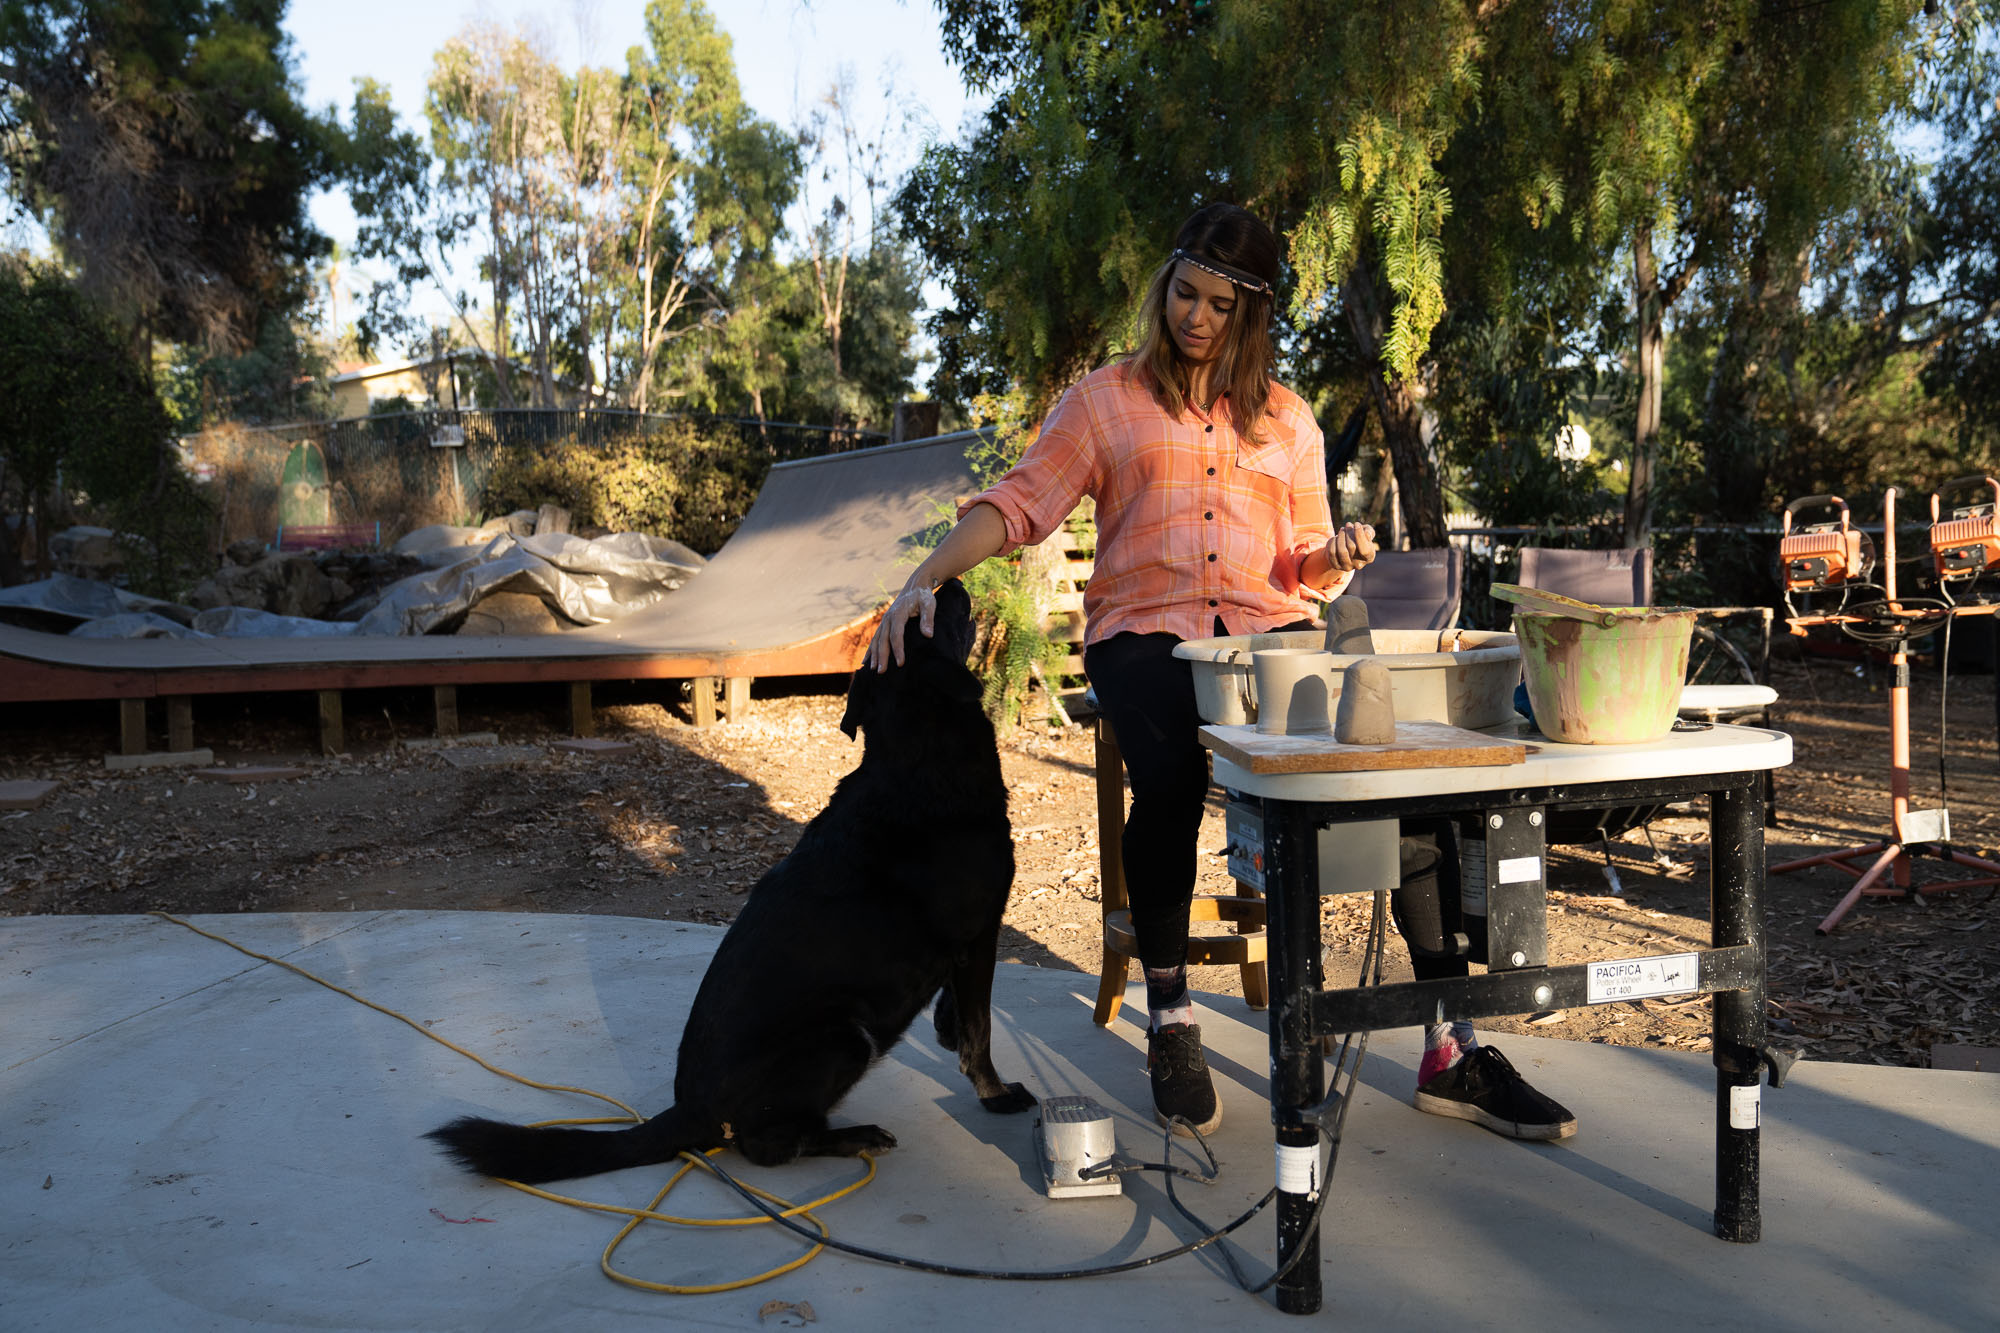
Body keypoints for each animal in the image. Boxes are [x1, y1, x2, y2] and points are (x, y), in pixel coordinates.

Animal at [430, 576, 1040, 1176]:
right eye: (923, 618)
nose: (947, 579)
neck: (916, 764)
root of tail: (688, 1110)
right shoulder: (980, 935)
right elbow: (981, 1031)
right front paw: (996, 1095)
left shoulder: (961, 946)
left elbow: (960, 1013)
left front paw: (946, 1028)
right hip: (845, 1037)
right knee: (767, 1146)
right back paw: (852, 1138)